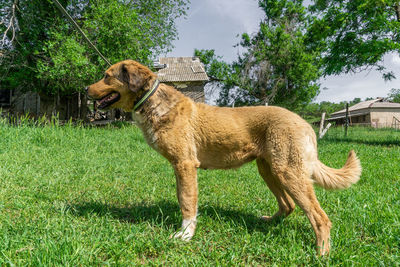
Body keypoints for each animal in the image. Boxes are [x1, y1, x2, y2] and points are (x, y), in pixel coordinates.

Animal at [86, 59, 360, 256]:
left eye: (107, 76)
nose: (85, 89)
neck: (152, 102)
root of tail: (304, 123)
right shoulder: (180, 167)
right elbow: (184, 199)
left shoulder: (186, 165)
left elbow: (187, 202)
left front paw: (185, 235)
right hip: (269, 170)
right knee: (288, 205)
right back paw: (268, 223)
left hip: (289, 173)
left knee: (320, 218)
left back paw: (321, 253)